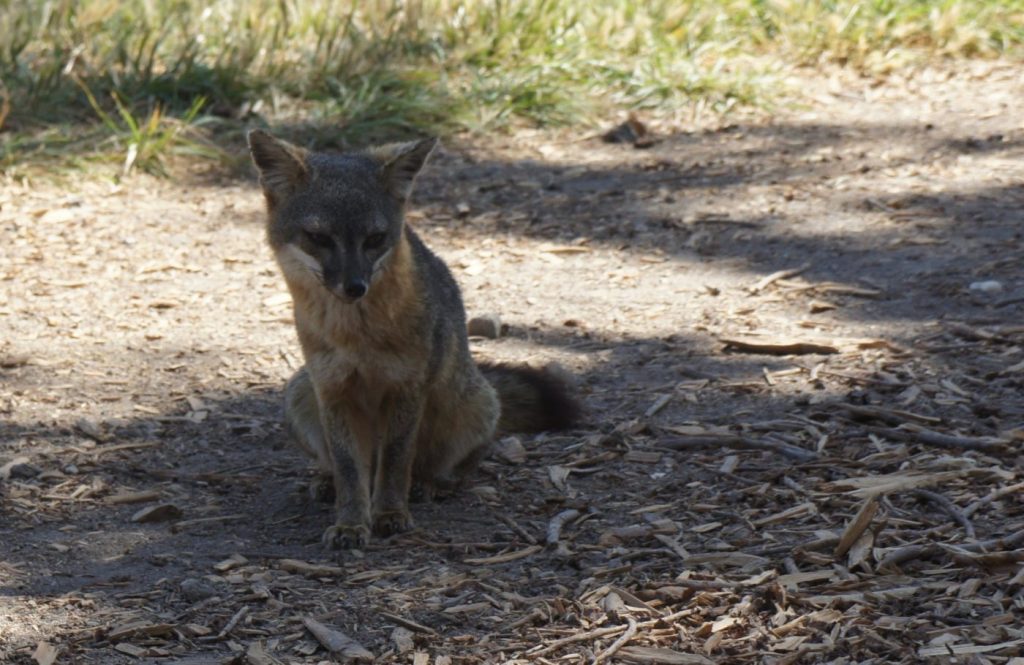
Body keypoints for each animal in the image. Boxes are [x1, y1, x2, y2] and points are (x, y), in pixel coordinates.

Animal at [247, 130, 580, 550]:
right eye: (318, 237)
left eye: (375, 238)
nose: (355, 286)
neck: (356, 335)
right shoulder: (333, 390)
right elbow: (348, 469)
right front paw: (351, 523)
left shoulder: (407, 387)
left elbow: (395, 459)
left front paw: (389, 513)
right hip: (299, 392)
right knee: (344, 465)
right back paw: (326, 481)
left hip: (474, 406)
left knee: (444, 468)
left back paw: (427, 484)